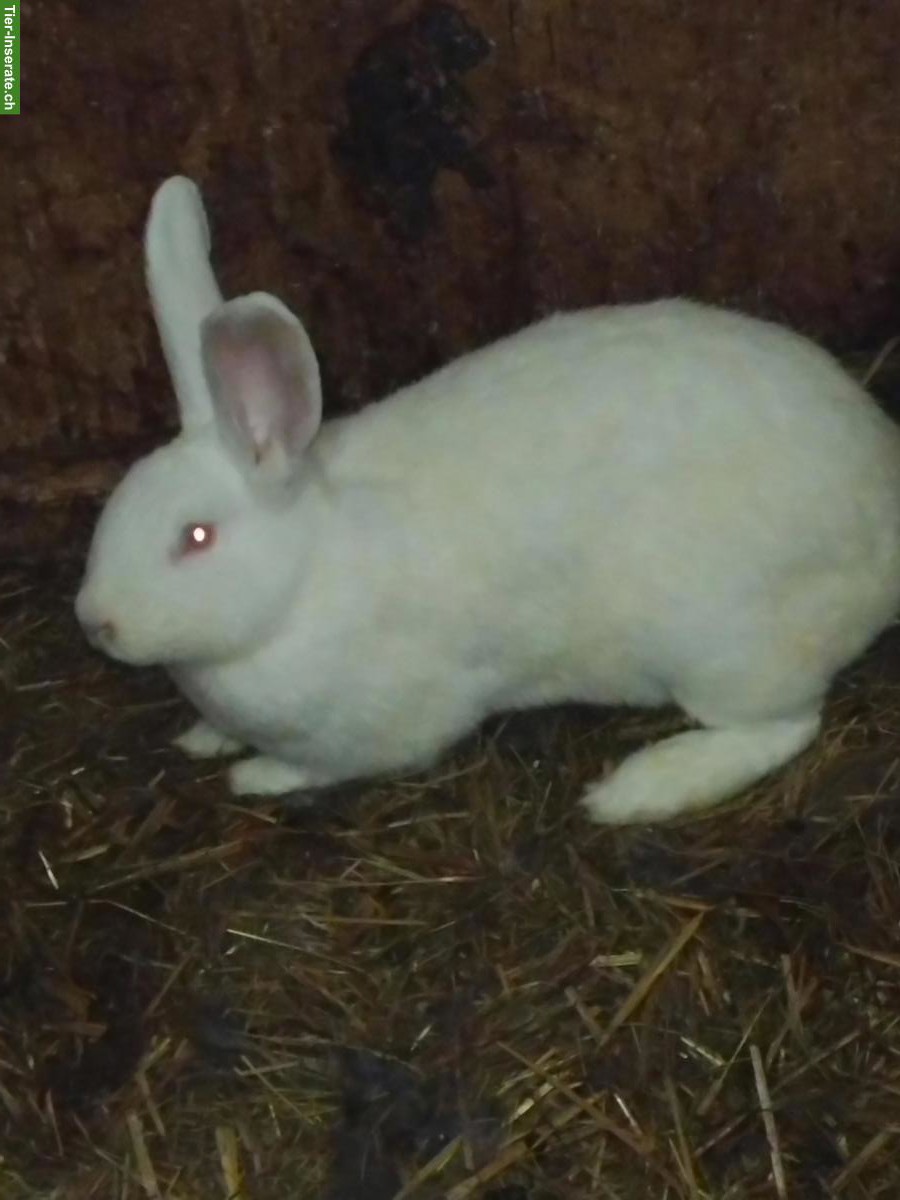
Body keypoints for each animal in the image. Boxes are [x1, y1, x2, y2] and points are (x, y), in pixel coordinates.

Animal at [75, 175, 900, 824]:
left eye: (196, 537)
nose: (96, 622)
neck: (306, 572)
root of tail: (882, 499)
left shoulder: (387, 724)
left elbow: (325, 764)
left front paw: (256, 773)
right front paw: (206, 737)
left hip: (725, 644)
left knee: (783, 727)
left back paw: (641, 789)